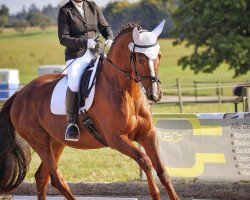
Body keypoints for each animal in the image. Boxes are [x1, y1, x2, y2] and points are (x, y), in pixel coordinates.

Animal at [0, 23, 180, 200]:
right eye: (141, 59)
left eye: (159, 56)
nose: (155, 95)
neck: (126, 91)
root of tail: (19, 94)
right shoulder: (117, 139)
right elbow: (145, 161)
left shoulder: (147, 134)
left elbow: (162, 172)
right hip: (40, 142)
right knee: (57, 178)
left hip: (56, 141)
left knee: (42, 177)